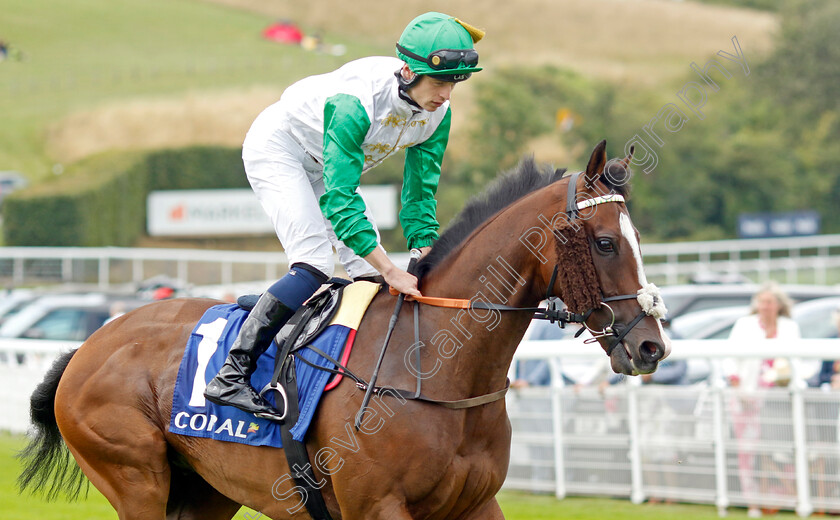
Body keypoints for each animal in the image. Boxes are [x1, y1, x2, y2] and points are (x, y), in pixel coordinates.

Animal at [18, 140, 668, 516]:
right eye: (605, 243)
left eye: (639, 238)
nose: (650, 345)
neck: (435, 367)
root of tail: (87, 347)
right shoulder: (377, 507)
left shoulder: (476, 506)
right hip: (137, 479)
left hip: (204, 494)